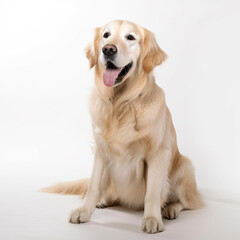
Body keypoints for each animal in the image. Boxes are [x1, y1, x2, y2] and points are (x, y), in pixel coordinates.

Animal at [41, 19, 204, 233]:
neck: (121, 104)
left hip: (185, 166)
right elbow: (93, 186)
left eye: (130, 37)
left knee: (189, 202)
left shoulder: (158, 153)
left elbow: (152, 192)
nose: (108, 49)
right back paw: (103, 200)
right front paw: (84, 210)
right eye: (106, 35)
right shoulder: (101, 151)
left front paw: (152, 218)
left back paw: (170, 209)